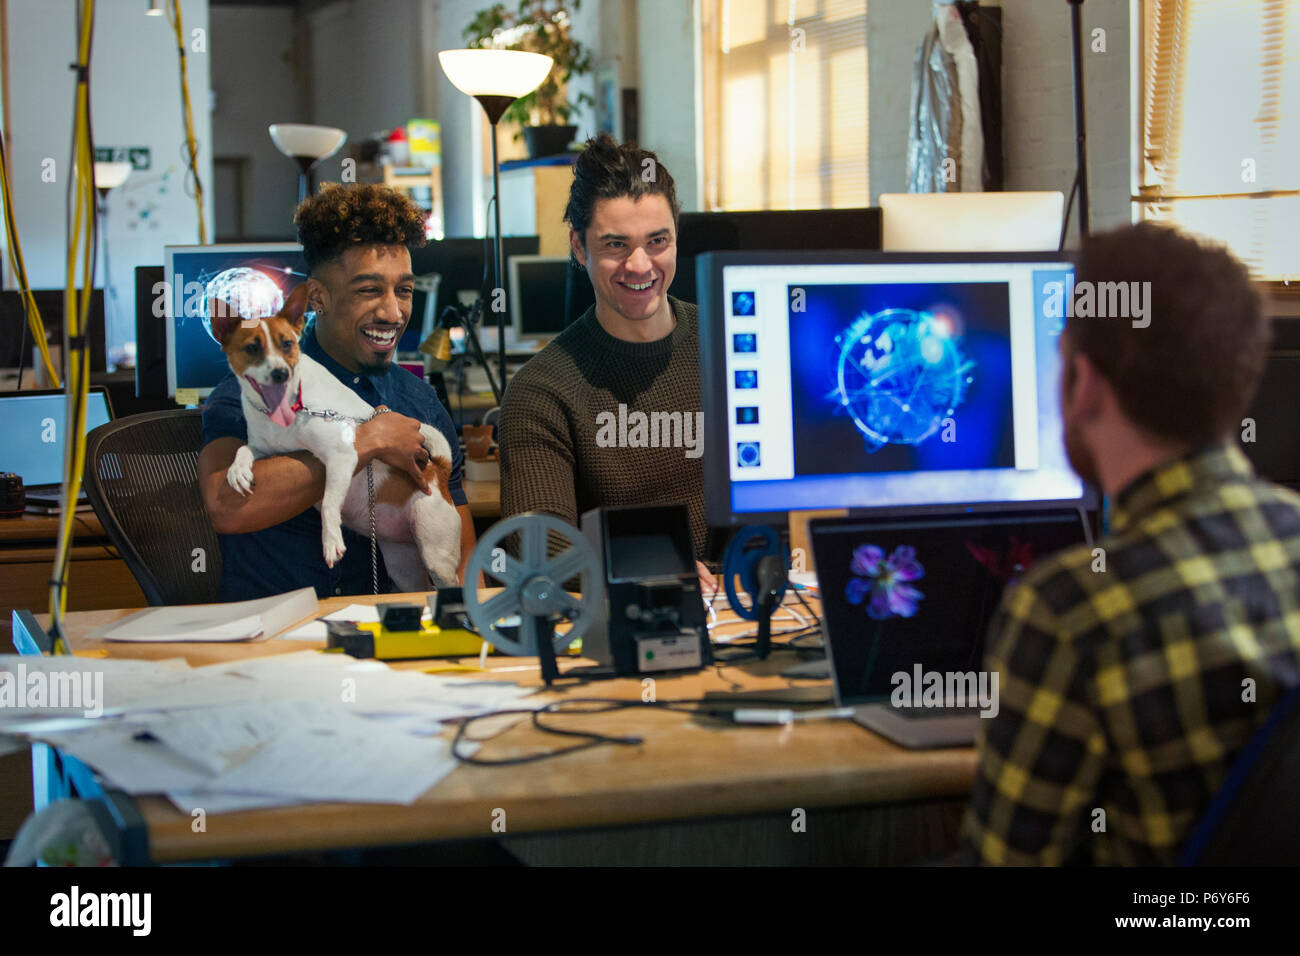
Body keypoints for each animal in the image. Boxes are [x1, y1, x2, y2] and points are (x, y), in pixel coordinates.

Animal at [209, 280, 462, 587]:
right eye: (252, 348)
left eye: (287, 344)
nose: (281, 373)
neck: (289, 406)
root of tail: (438, 473)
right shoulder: (263, 447)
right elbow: (243, 448)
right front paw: (238, 470)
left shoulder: (341, 456)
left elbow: (330, 501)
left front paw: (330, 541)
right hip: (402, 565)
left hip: (437, 555)